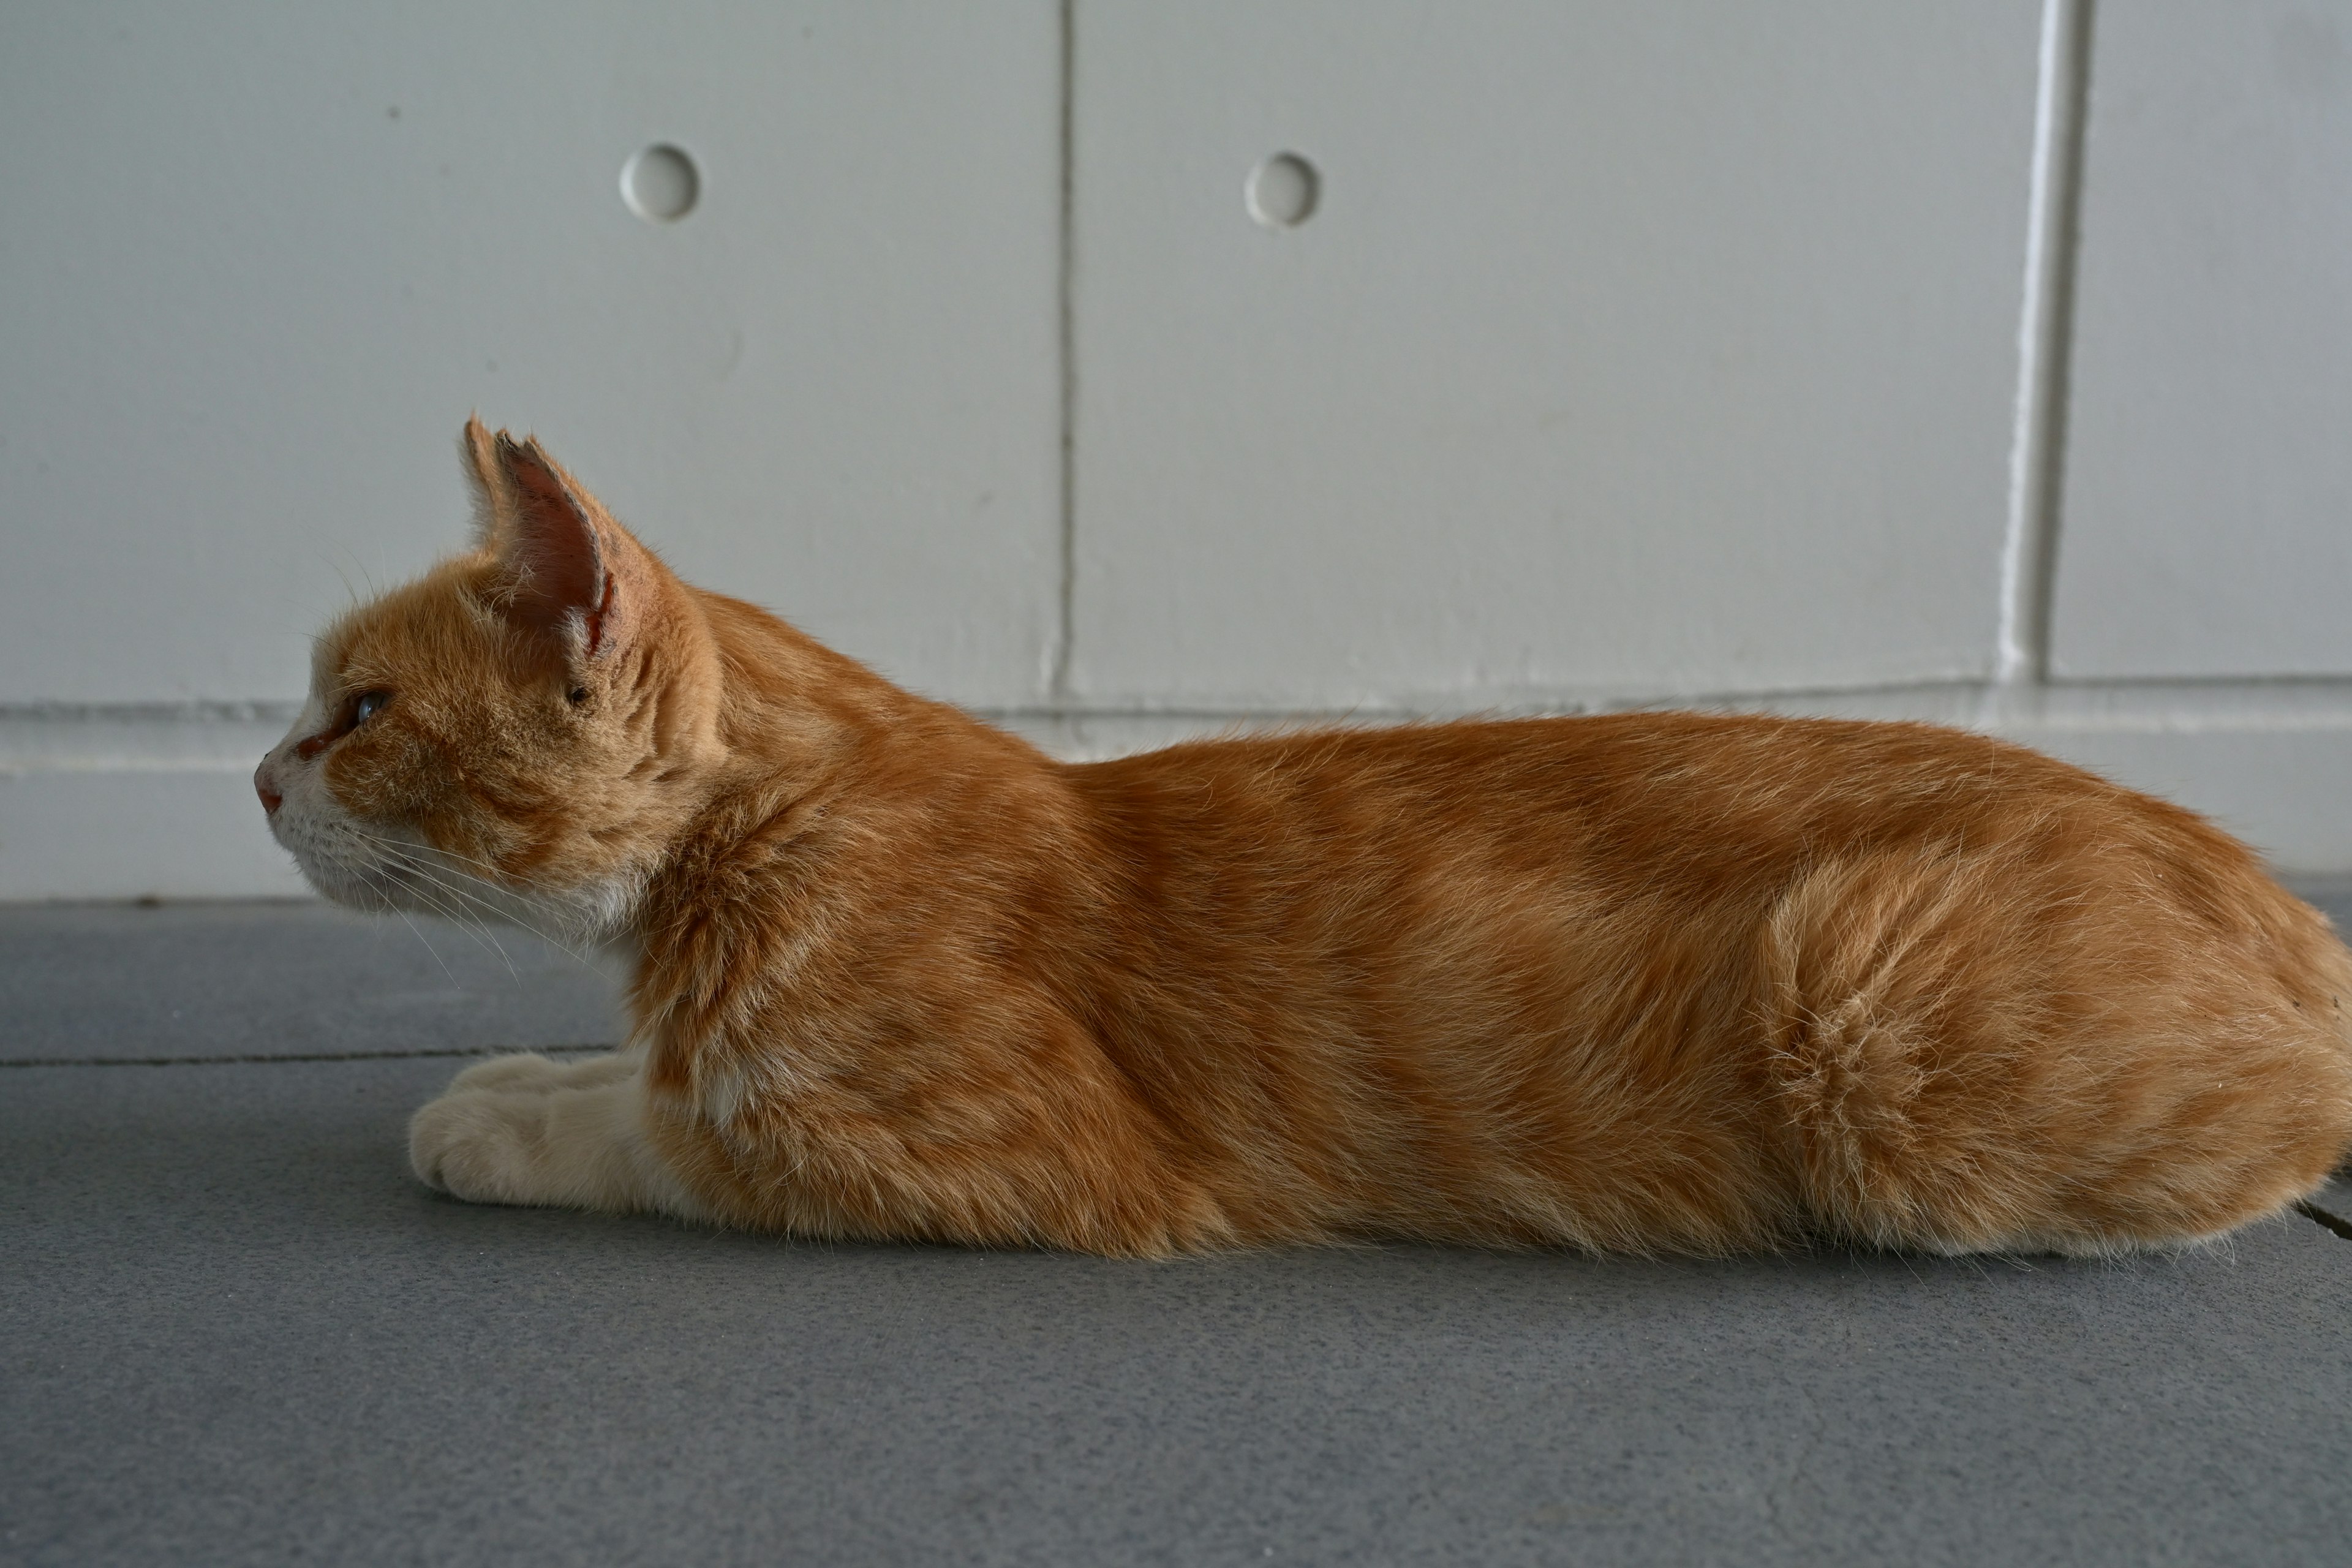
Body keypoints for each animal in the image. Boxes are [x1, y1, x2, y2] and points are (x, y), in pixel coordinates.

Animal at [252, 423, 2352, 1260]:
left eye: (359, 712)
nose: (260, 781)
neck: (785, 826)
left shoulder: (993, 1153)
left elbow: (668, 1129)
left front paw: (514, 1119)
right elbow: (635, 1069)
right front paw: (538, 1066)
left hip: (1865, 1015)